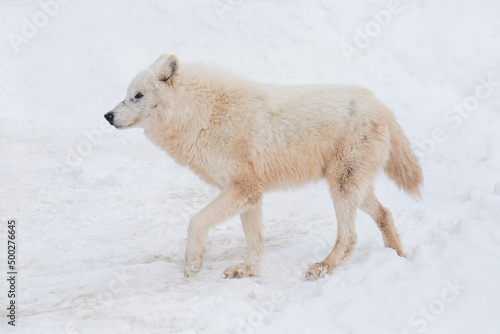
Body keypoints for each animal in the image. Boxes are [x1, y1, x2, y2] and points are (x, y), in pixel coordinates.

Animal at [104, 54, 422, 280]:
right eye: (127, 94)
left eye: (138, 96)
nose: (107, 115)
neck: (203, 115)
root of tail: (381, 105)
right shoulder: (250, 194)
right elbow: (254, 241)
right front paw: (247, 271)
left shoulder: (242, 188)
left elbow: (195, 221)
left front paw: (192, 265)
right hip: (350, 187)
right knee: (384, 214)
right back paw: (398, 256)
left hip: (341, 187)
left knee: (349, 236)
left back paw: (322, 267)